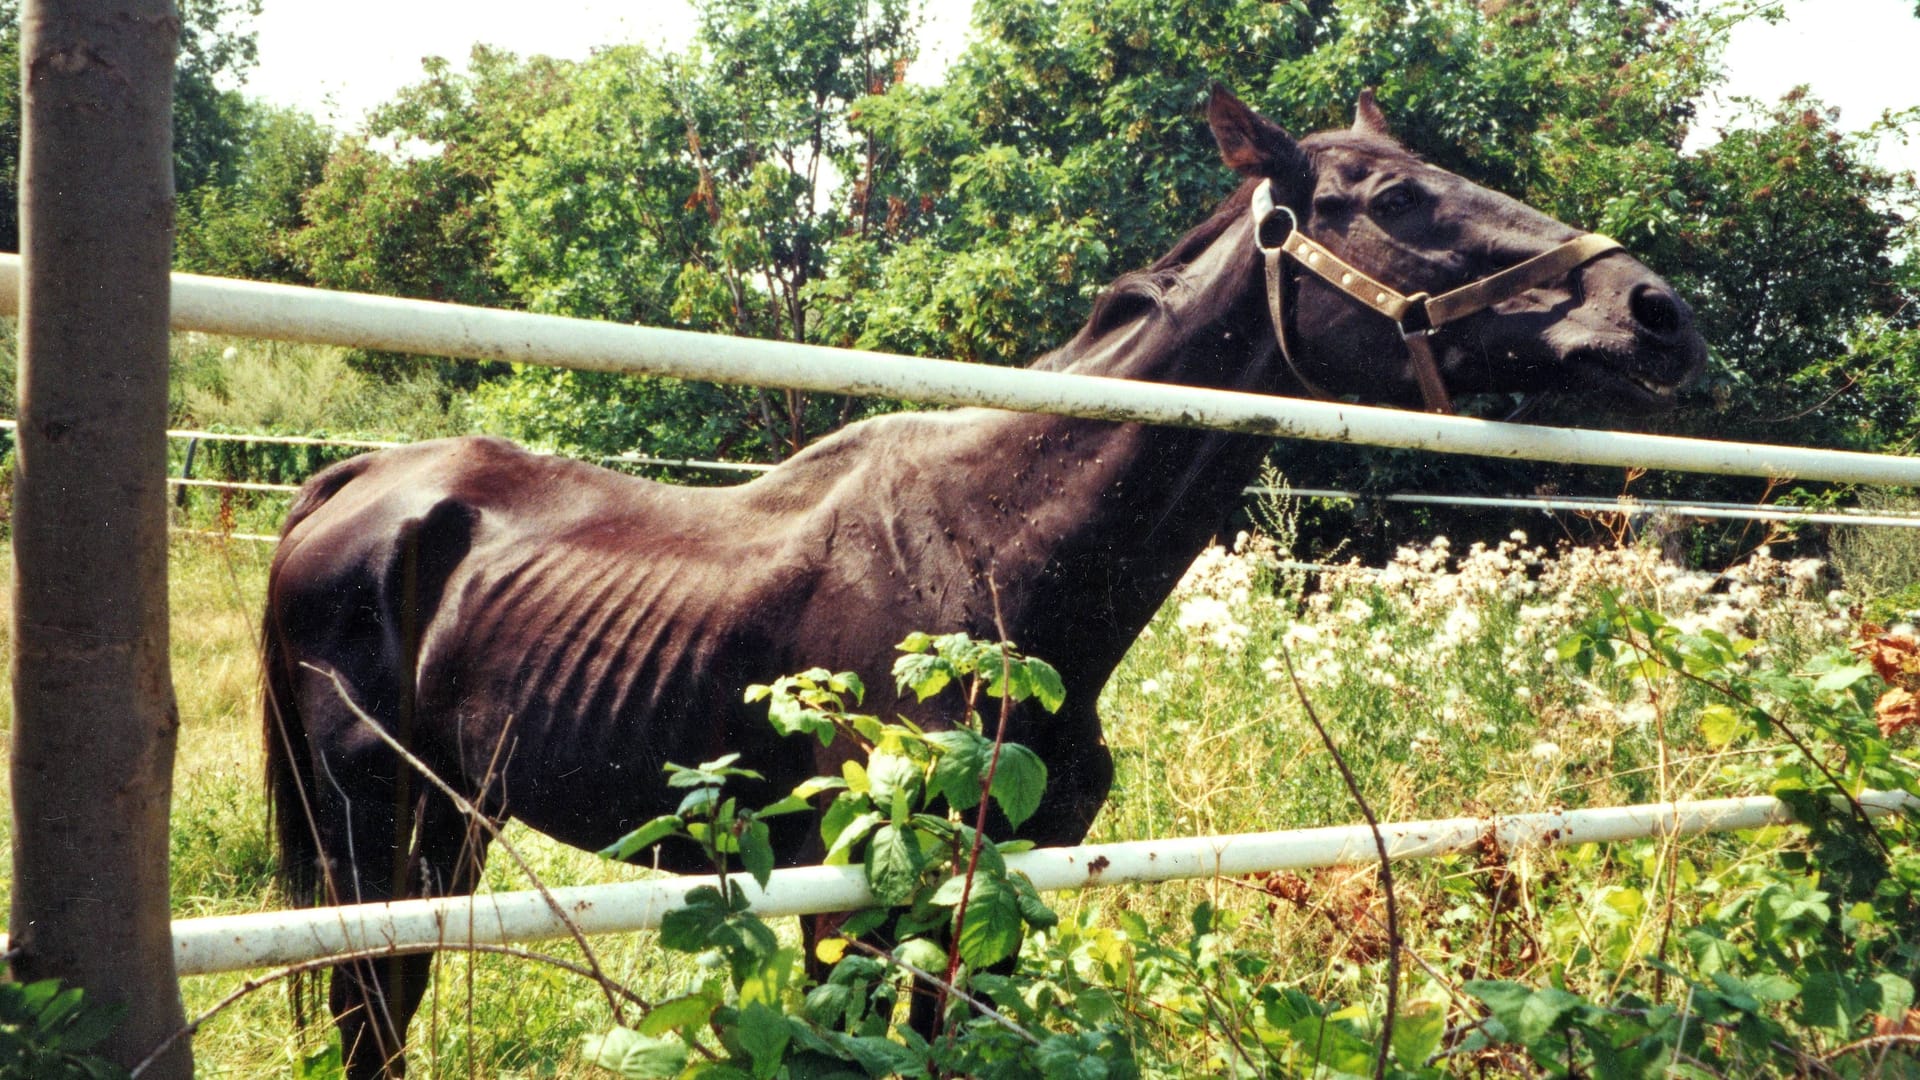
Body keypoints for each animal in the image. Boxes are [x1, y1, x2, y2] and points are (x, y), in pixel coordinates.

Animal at [263, 90, 1704, 1068]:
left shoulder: (1010, 890)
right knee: (364, 1009)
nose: (1656, 312)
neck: (997, 555)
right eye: (1398, 199)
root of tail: (357, 484)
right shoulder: (851, 901)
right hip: (364, 829)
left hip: (447, 827)